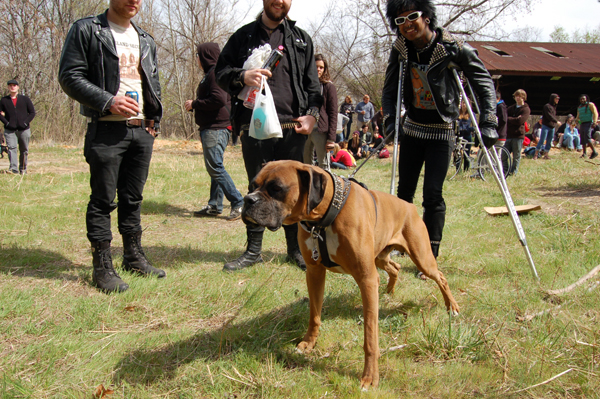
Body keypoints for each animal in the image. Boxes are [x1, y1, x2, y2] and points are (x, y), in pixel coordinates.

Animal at [243, 160, 460, 390]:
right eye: (252, 185)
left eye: (276, 188)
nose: (248, 199)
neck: (324, 217)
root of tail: (409, 206)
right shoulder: (315, 273)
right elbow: (314, 315)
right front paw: (309, 343)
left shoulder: (366, 279)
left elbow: (370, 335)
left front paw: (370, 376)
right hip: (380, 258)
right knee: (395, 267)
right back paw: (388, 292)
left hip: (422, 258)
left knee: (441, 277)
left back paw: (452, 307)